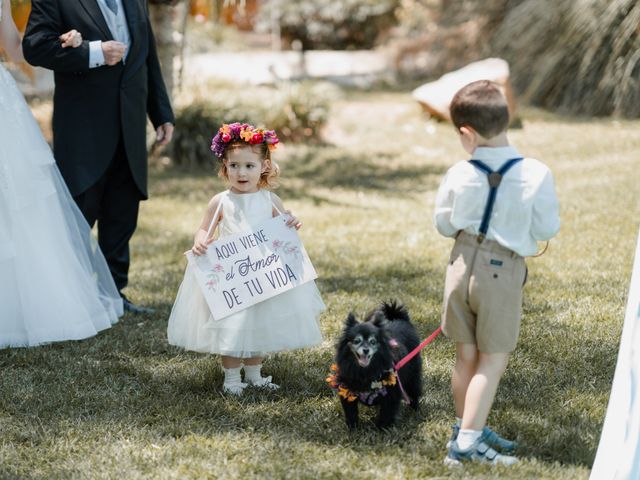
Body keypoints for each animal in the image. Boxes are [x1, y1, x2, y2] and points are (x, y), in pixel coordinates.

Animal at [330, 300, 424, 428]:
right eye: (357, 341)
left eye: (373, 341)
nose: (366, 350)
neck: (365, 371)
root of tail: (399, 318)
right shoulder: (347, 390)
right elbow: (351, 412)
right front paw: (352, 428)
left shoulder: (392, 393)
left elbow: (387, 413)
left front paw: (383, 429)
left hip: (412, 377)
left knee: (414, 392)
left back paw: (415, 410)